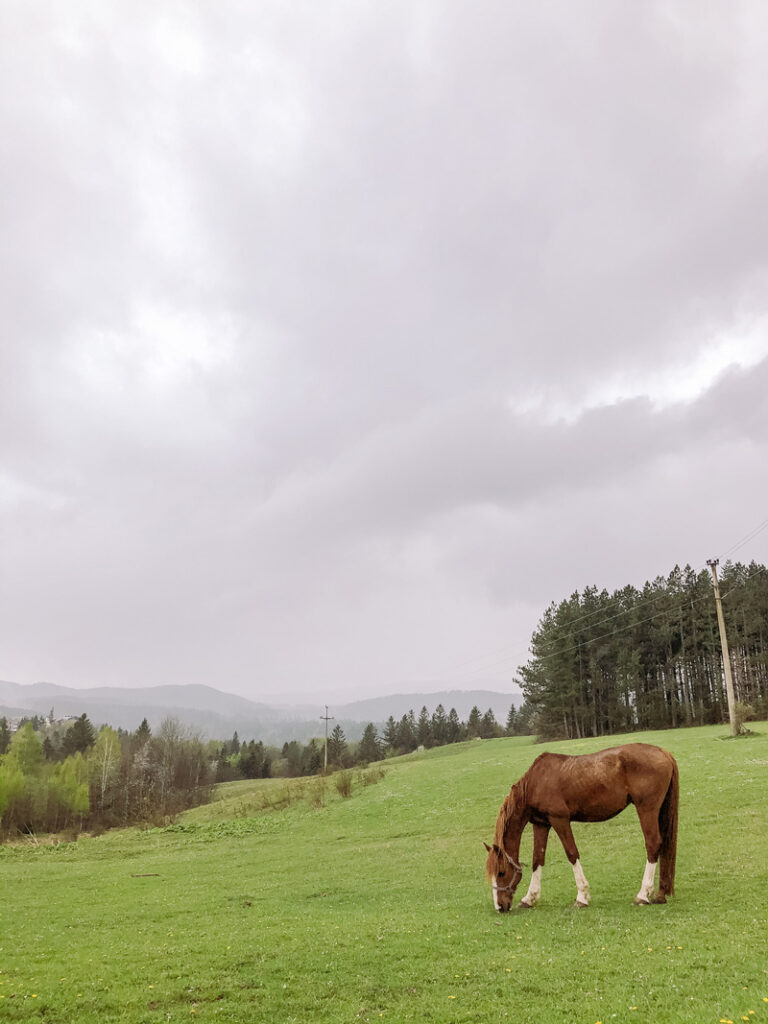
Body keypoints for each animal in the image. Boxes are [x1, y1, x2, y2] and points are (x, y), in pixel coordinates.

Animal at [487, 745, 679, 913]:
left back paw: (643, 895)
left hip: (646, 809)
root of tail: (664, 752)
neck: (535, 783)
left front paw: (582, 897)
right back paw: (660, 894)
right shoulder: (541, 824)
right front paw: (529, 898)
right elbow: (537, 859)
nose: (499, 907)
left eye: (501, 873)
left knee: (653, 844)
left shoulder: (560, 820)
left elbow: (571, 853)